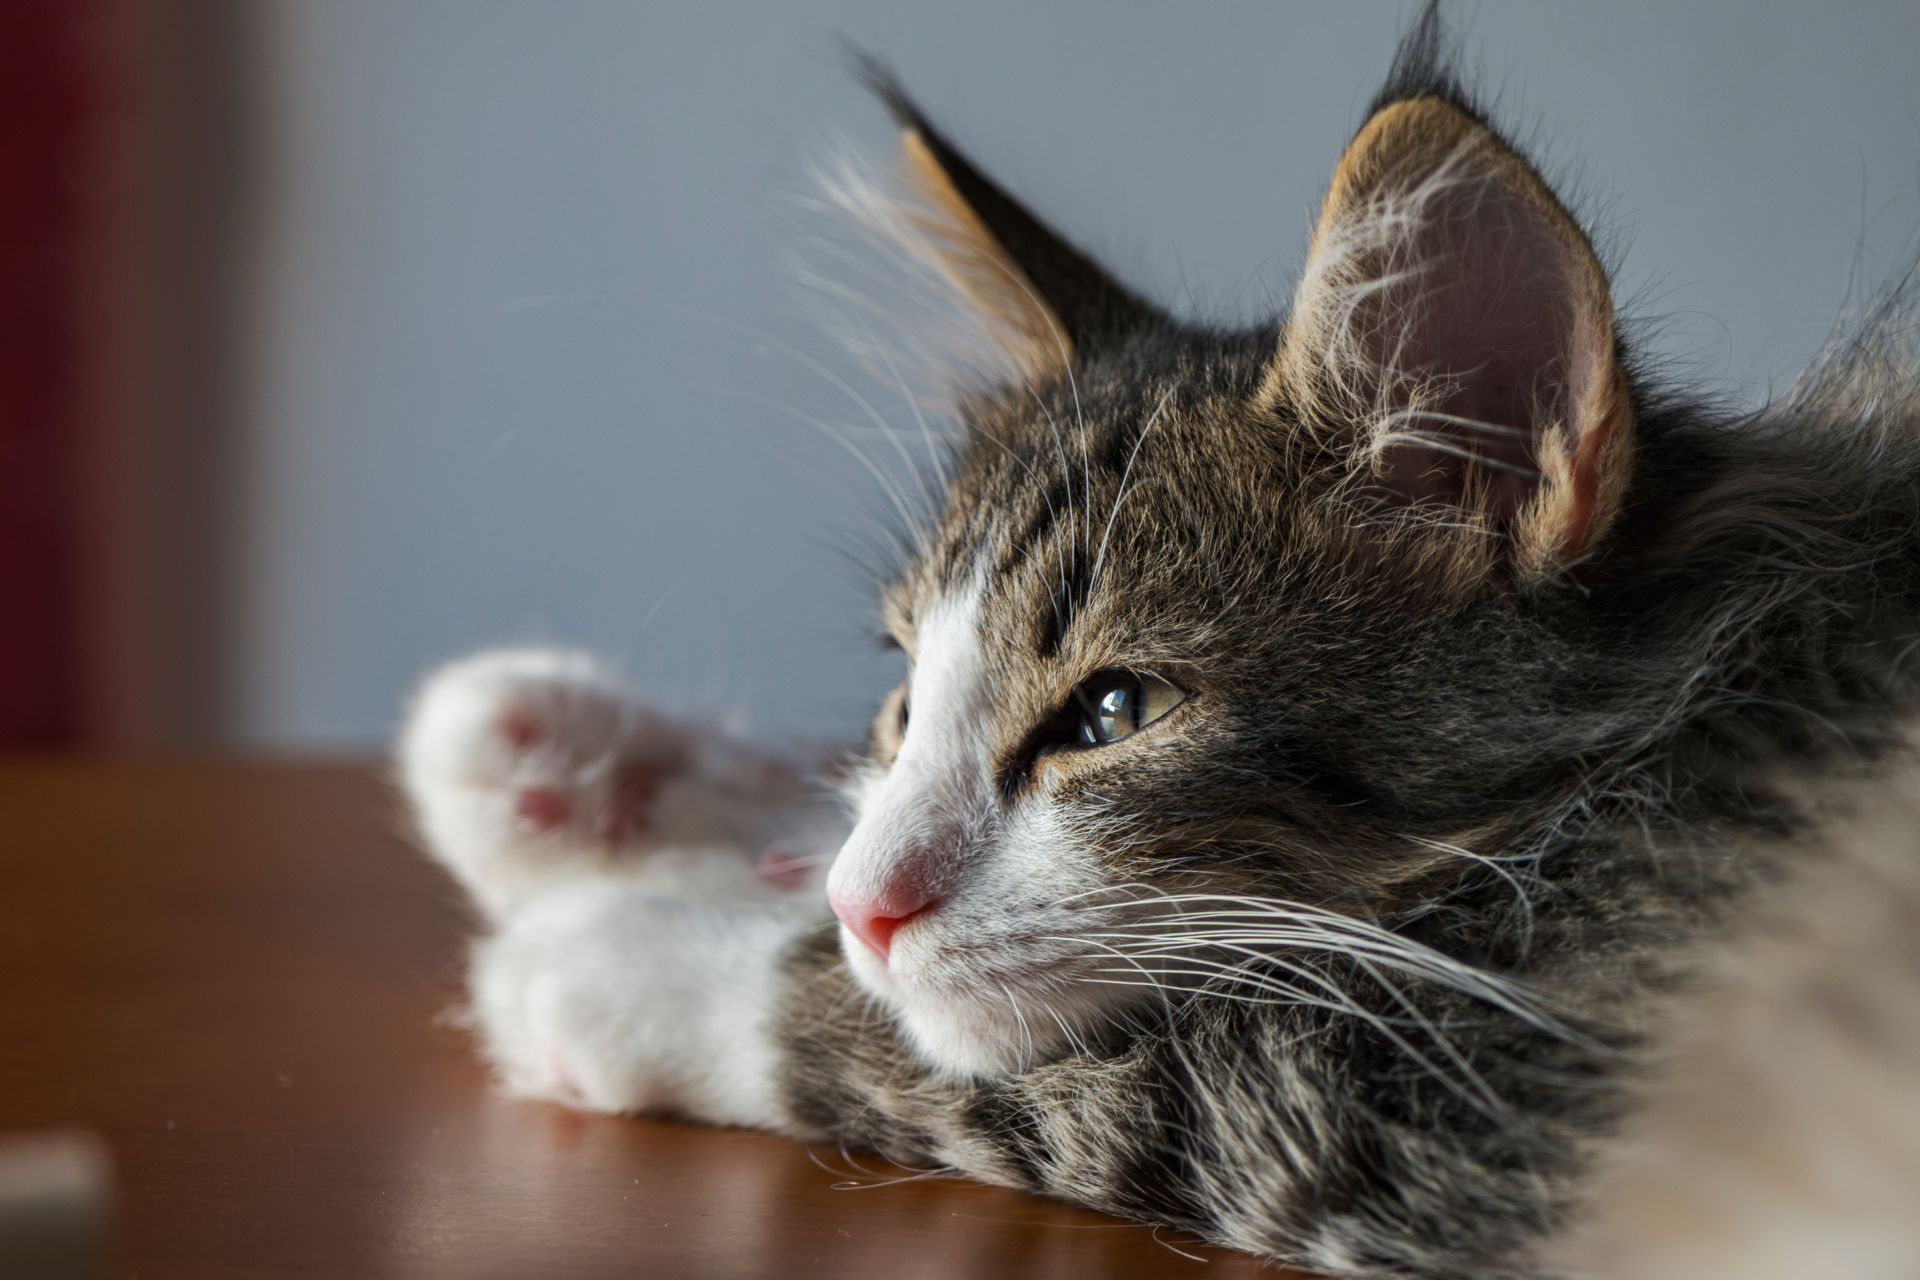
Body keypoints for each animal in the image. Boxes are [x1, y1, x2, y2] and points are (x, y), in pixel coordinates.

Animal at [393, 10, 1920, 1281]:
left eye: (1114, 714)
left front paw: (619, 954)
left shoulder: (1527, 1079)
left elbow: (1063, 1061)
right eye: (902, 700)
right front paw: (578, 773)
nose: (862, 906)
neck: (1737, 662)